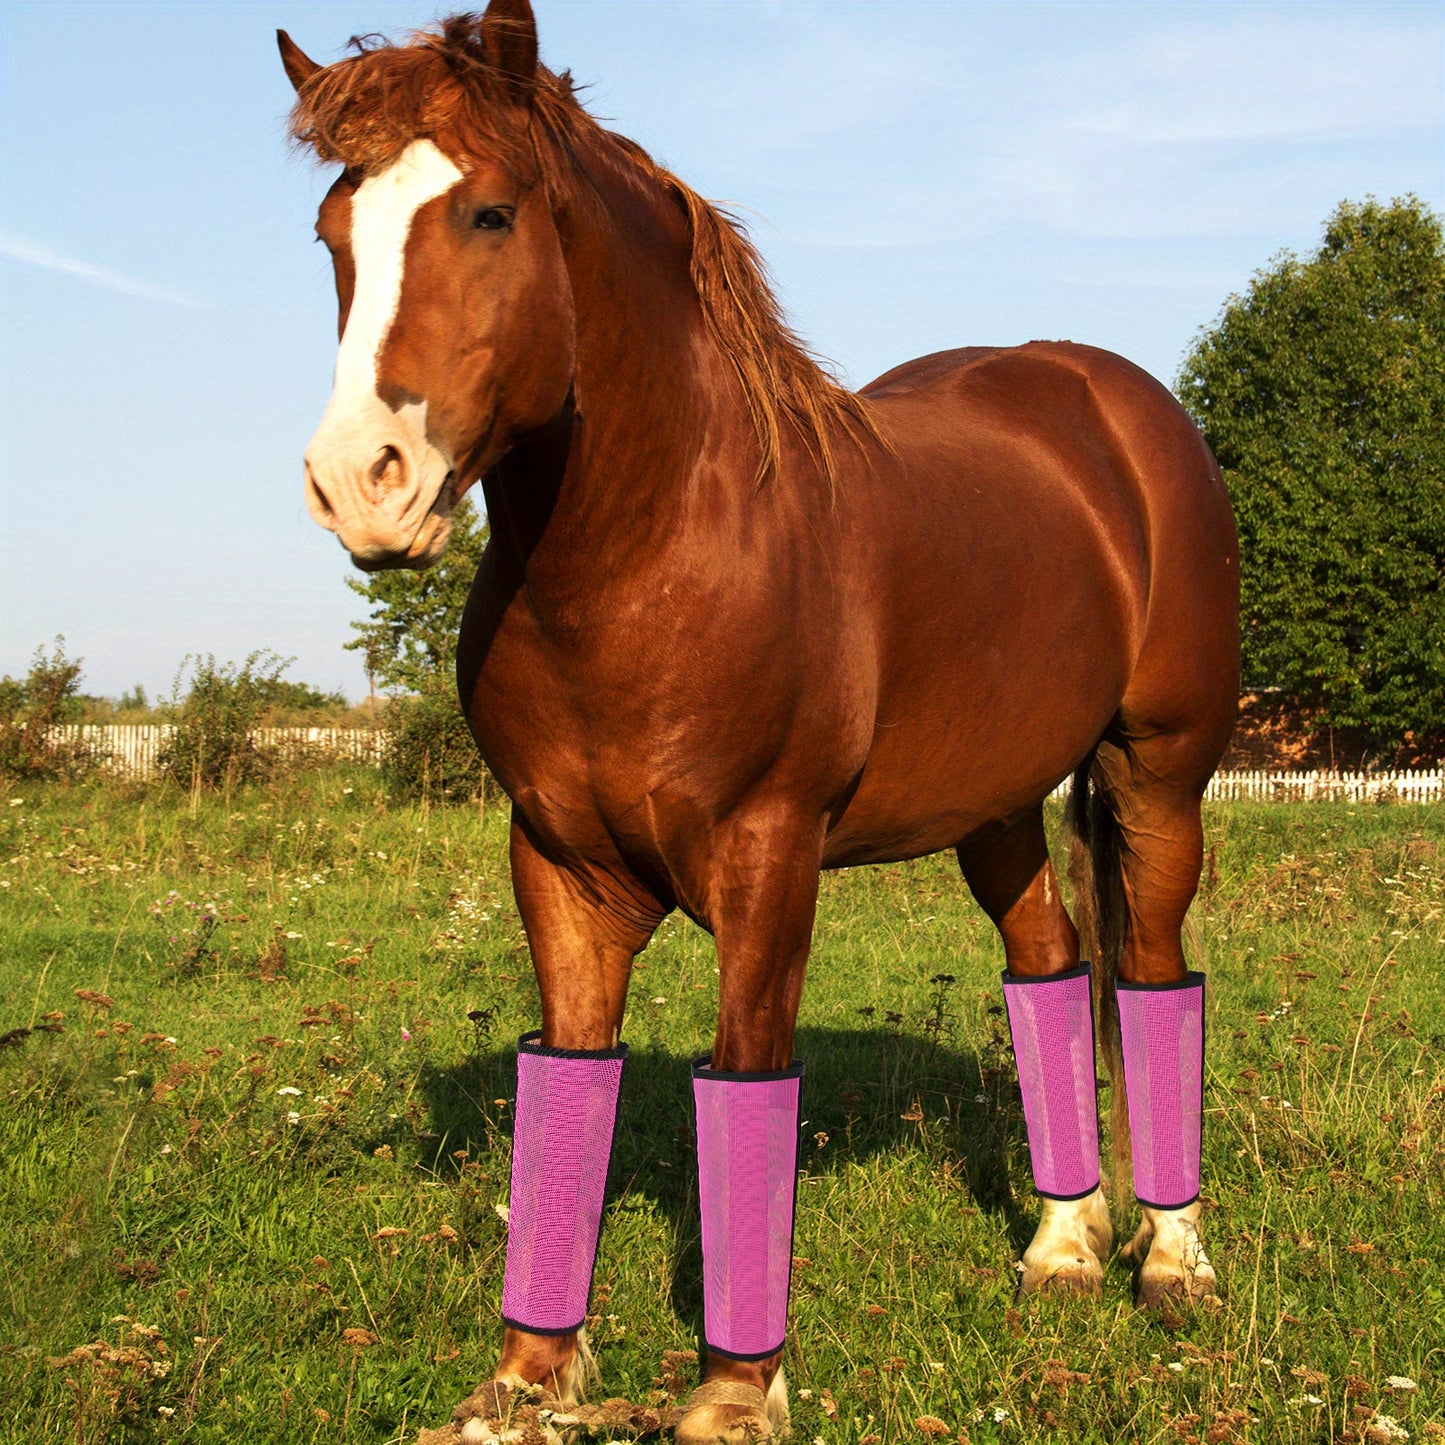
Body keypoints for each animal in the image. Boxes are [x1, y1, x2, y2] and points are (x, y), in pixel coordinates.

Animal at [279, 4, 1239, 1441]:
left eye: (491, 213)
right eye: (336, 232)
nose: (361, 486)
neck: (652, 549)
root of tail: (1114, 410)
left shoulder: (766, 855)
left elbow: (744, 1085)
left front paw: (736, 1390)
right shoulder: (555, 867)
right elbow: (570, 1078)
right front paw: (526, 1378)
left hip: (1157, 776)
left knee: (1152, 970)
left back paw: (1169, 1259)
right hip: (995, 806)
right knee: (1049, 963)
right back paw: (1064, 1246)